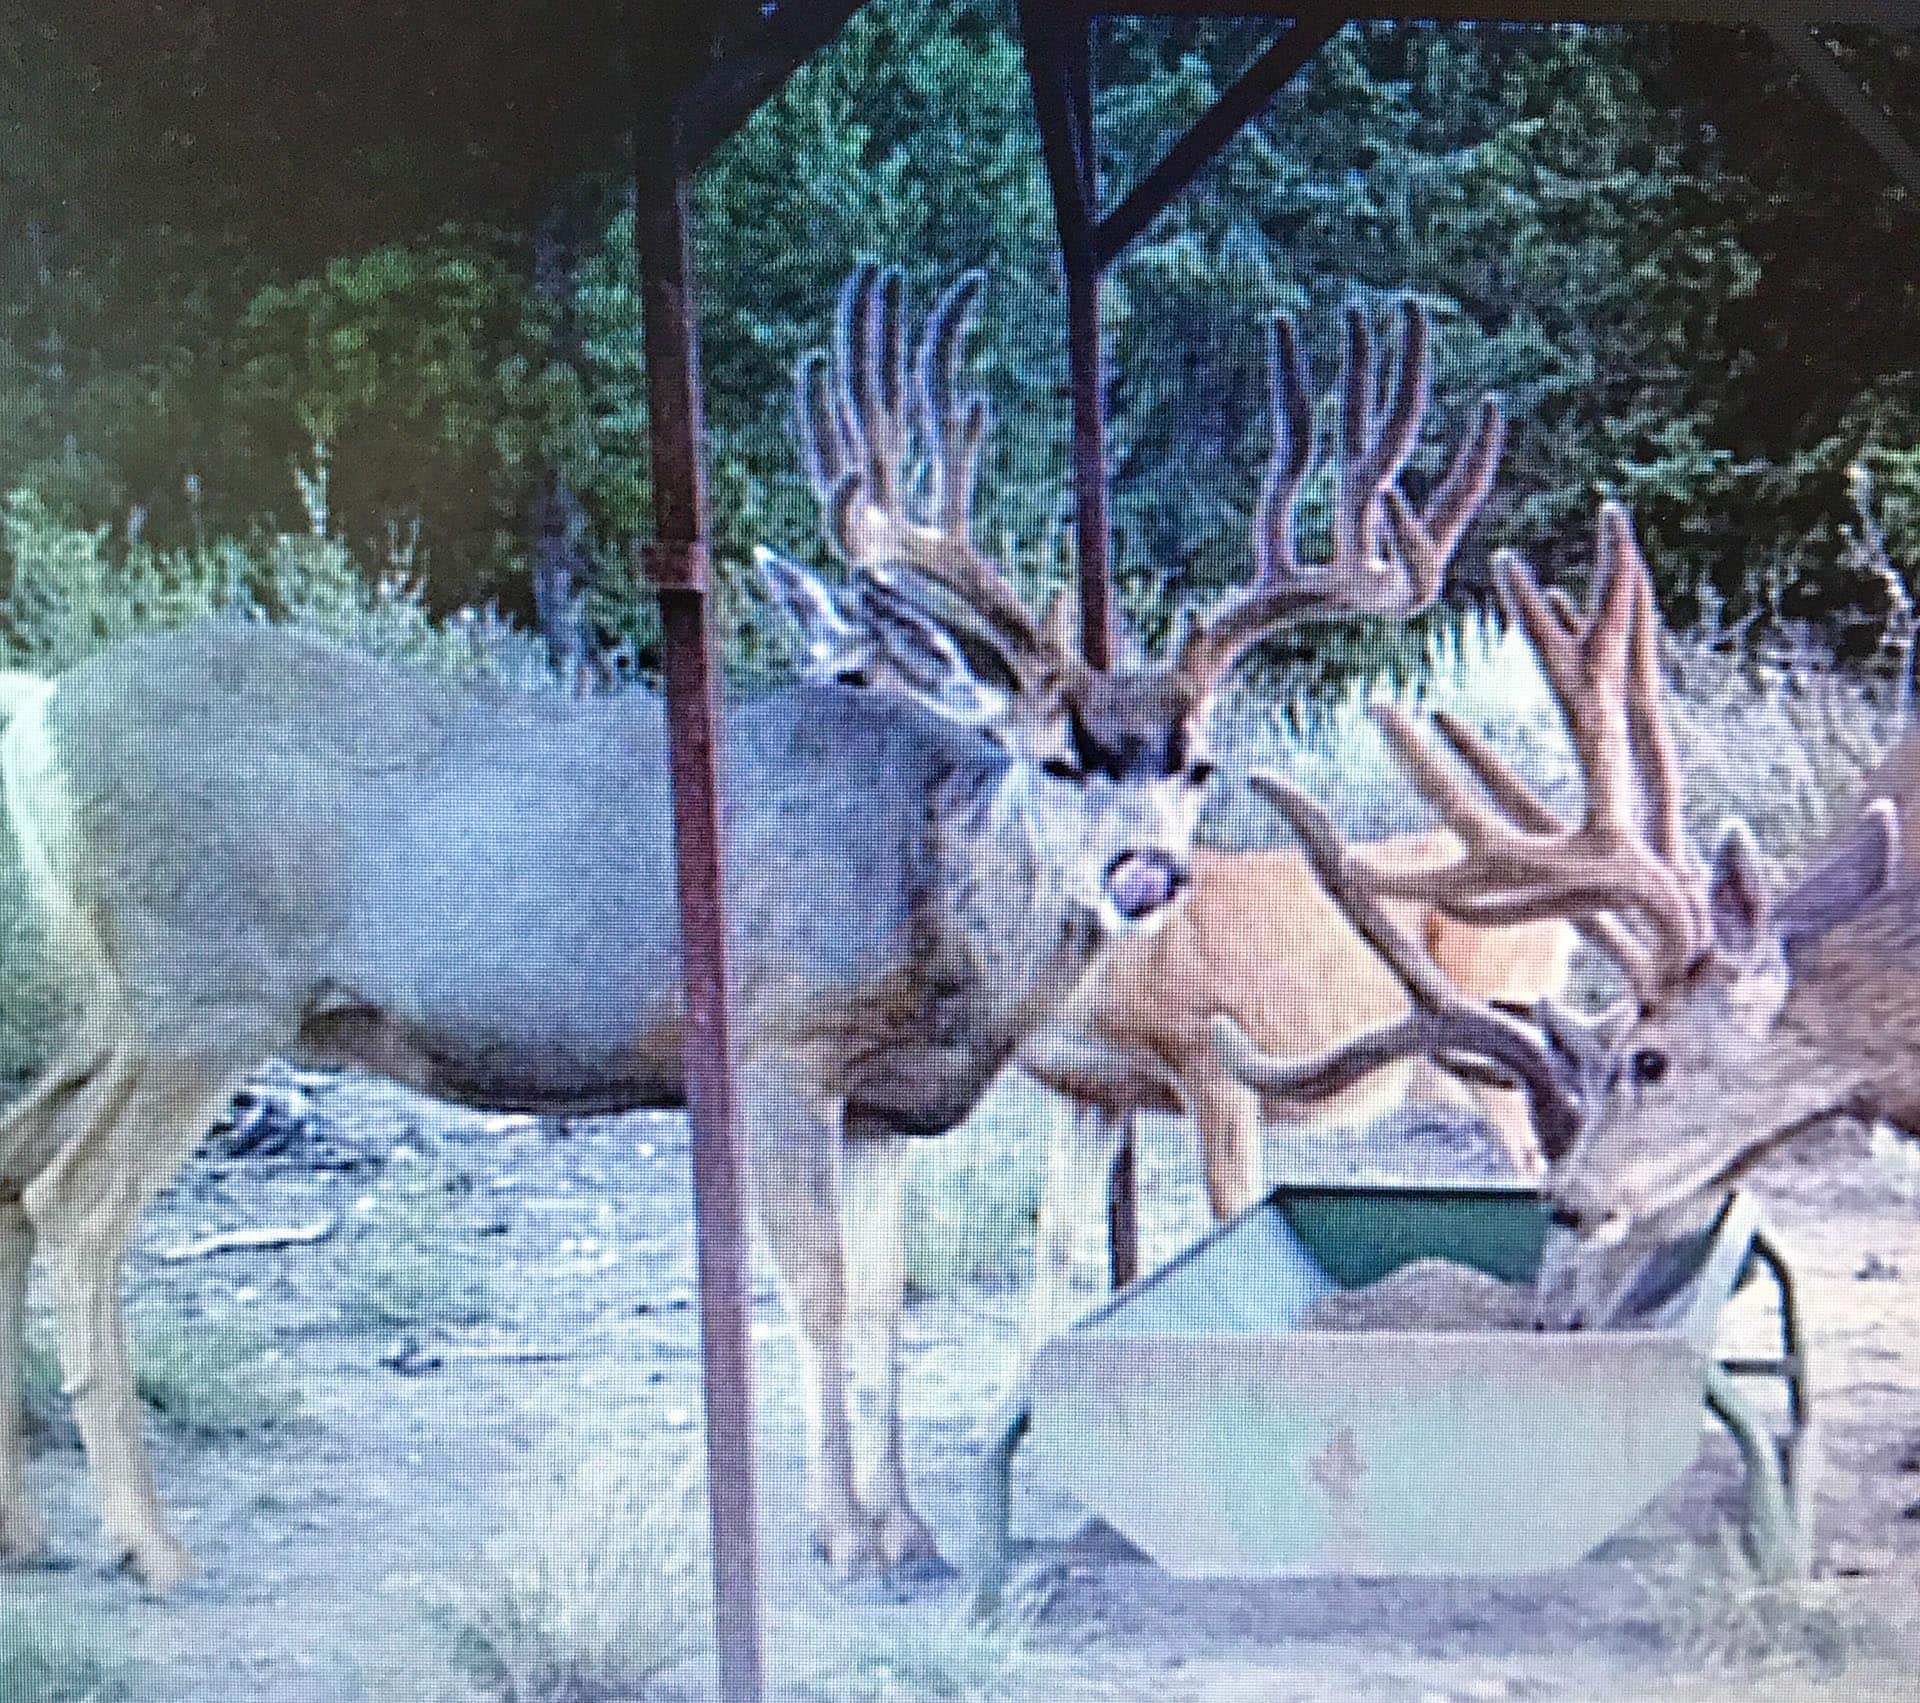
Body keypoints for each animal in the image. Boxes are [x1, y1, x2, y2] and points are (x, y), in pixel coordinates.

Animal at [0, 262, 1498, 1589]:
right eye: (1058, 757)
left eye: (1196, 763)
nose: (1143, 878)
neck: (930, 888)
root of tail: (48, 706)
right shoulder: (779, 1040)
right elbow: (821, 1287)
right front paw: (842, 1536)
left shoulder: (883, 1098)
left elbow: (886, 1298)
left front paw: (911, 1531)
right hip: (203, 992)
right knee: (76, 1202)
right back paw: (150, 1543)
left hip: (112, 1001)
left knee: (16, 1166)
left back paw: (32, 1529)